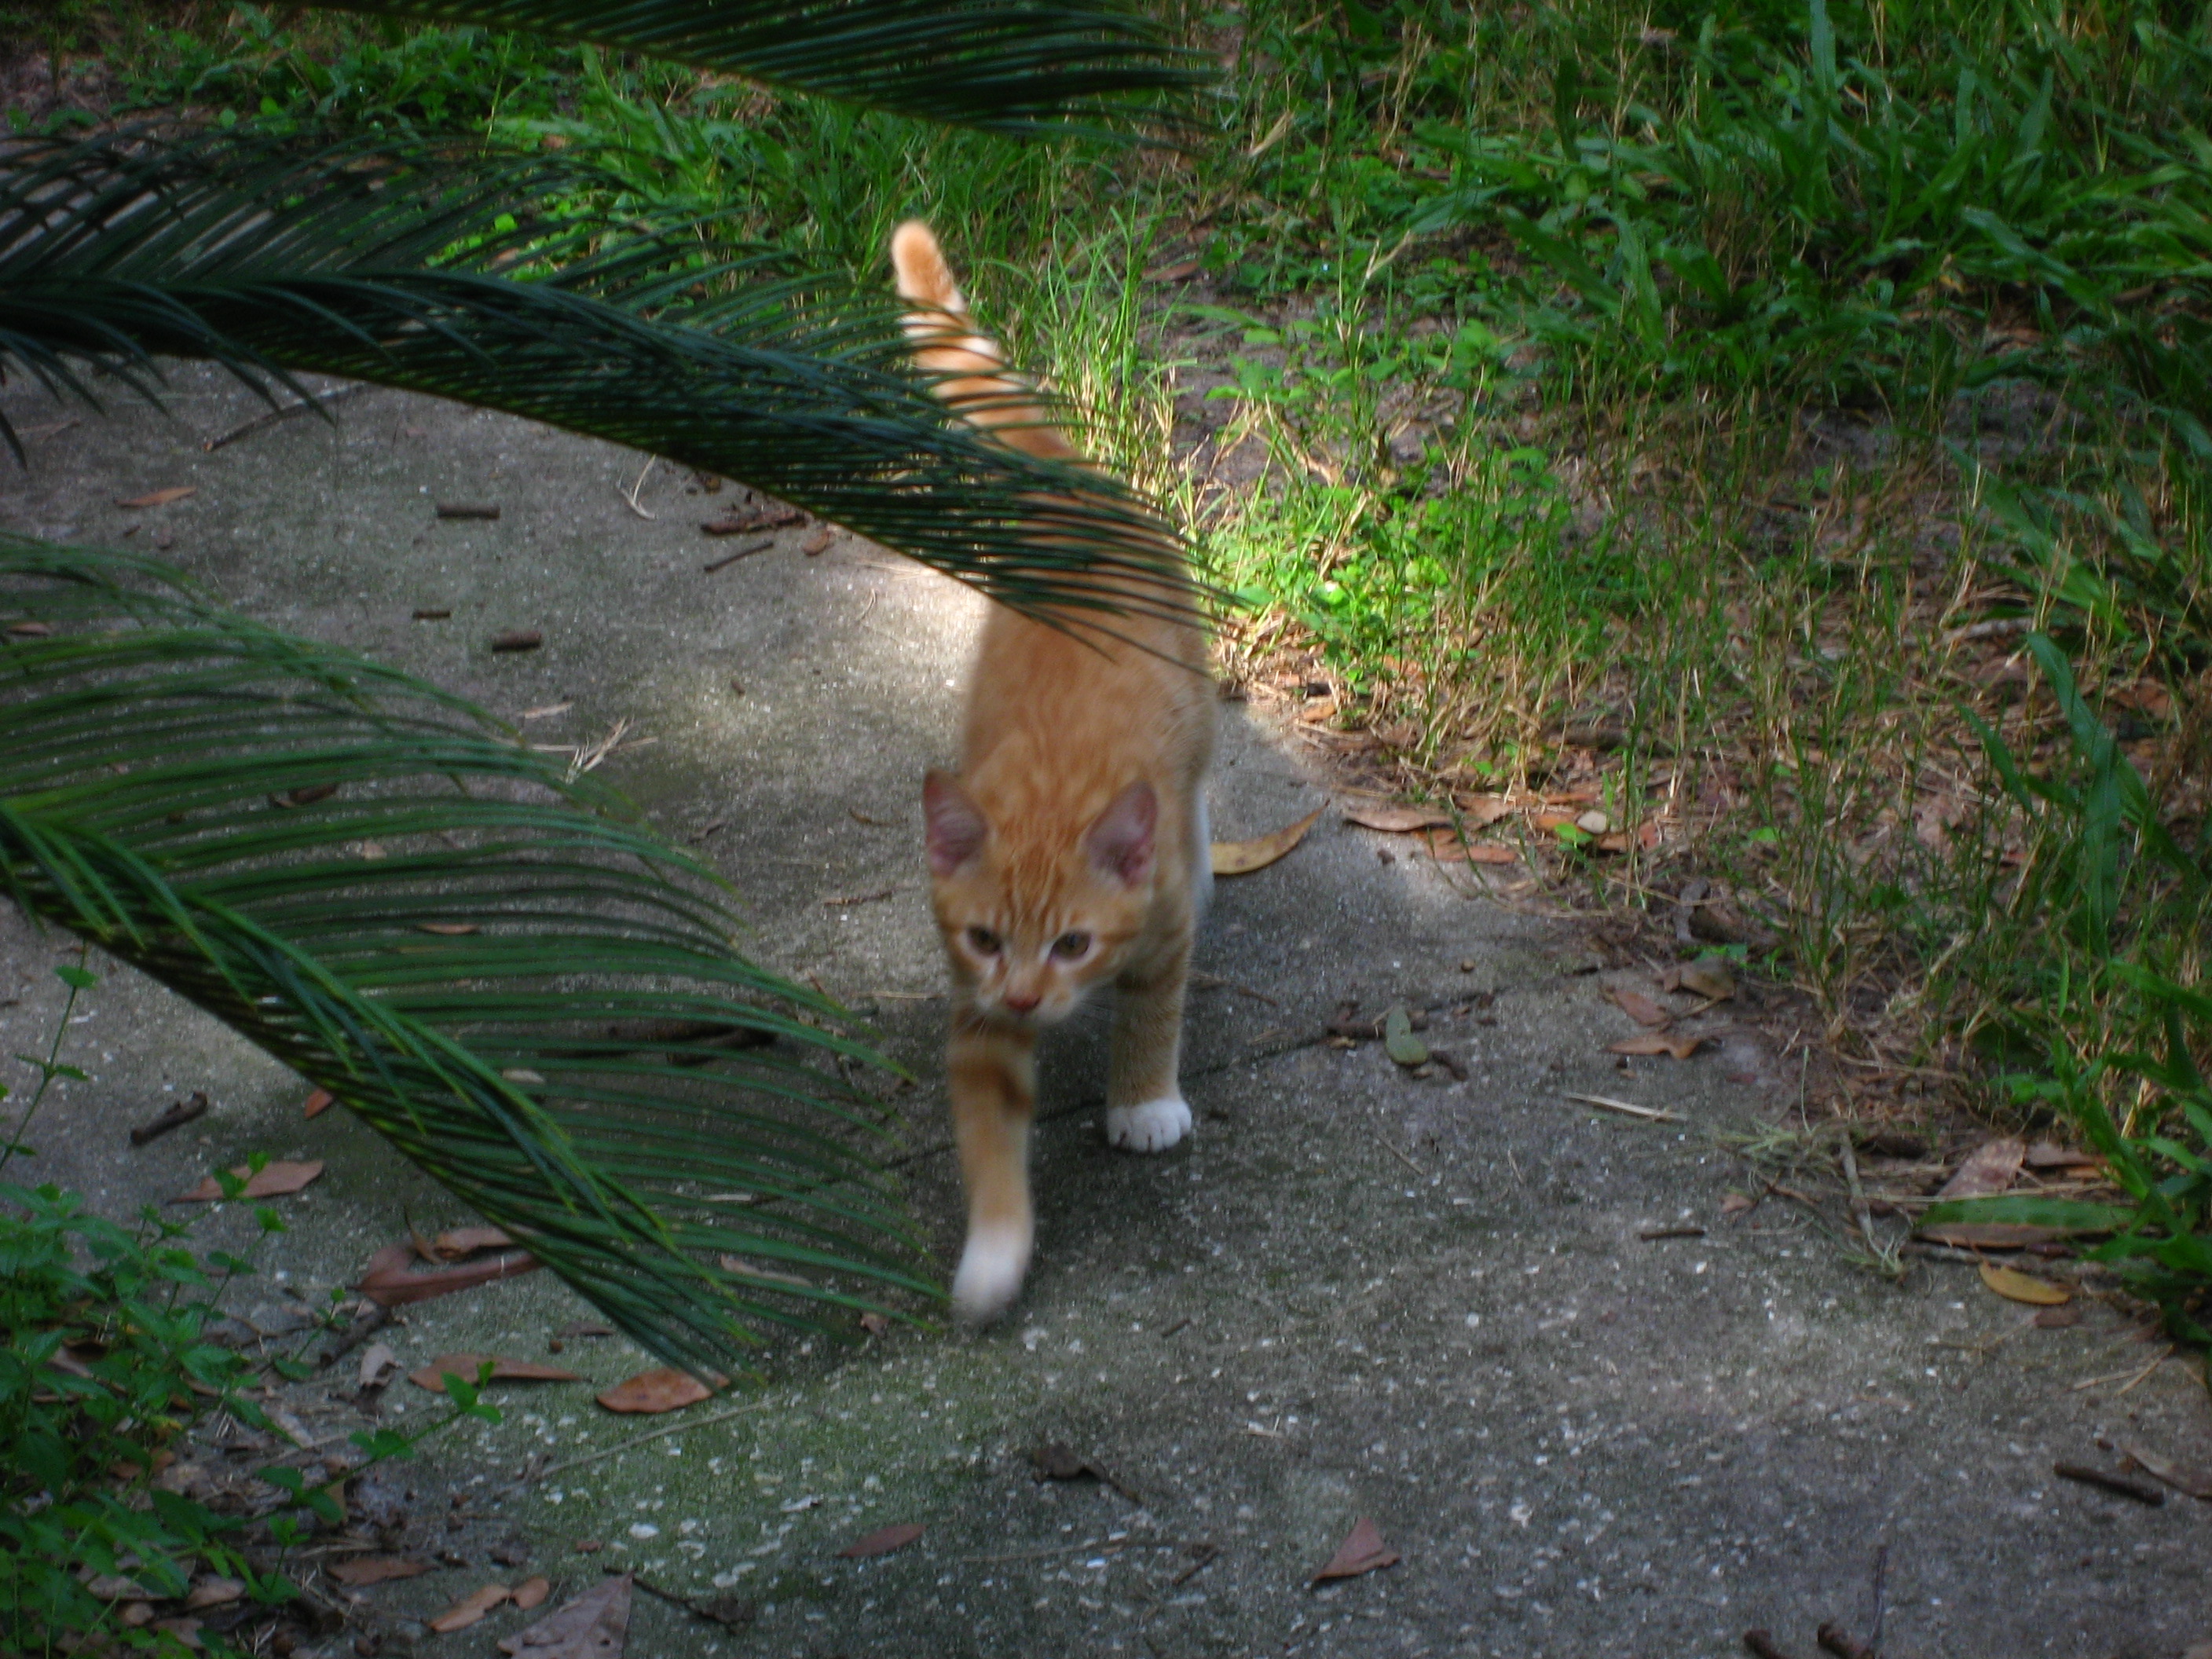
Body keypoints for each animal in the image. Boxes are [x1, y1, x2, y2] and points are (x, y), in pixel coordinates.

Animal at [890, 220, 1215, 1323]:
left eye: (1074, 943)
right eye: (990, 939)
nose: (1032, 998)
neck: (1051, 786)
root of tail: (1066, 491)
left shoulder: (1158, 925)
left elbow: (1154, 1010)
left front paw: (1144, 1100)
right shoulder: (976, 1008)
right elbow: (991, 1131)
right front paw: (995, 1253)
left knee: (1199, 795)